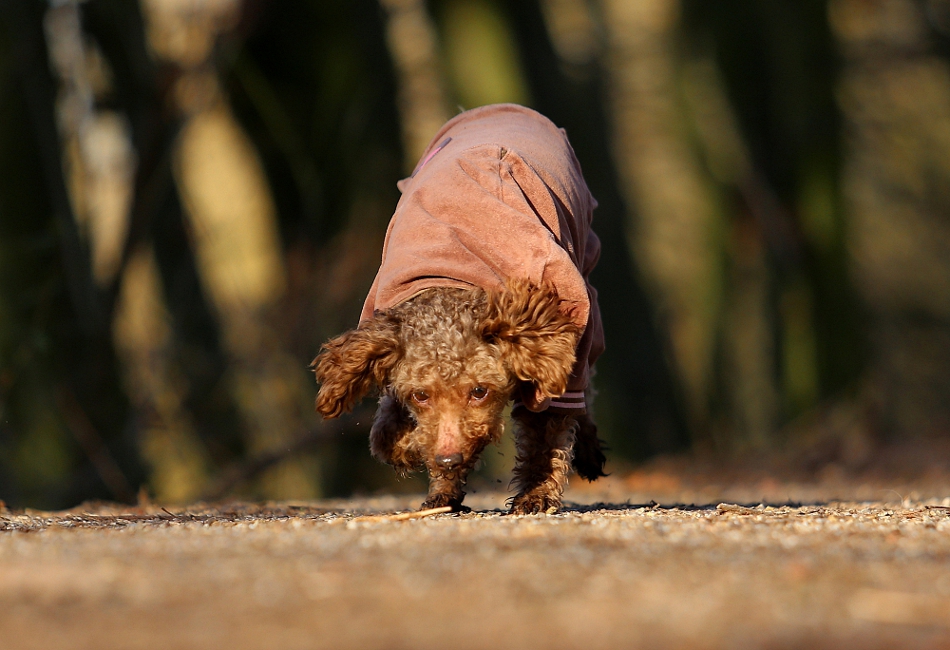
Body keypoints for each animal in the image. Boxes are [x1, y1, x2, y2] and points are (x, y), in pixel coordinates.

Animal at [314, 105, 608, 512]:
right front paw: (432, 476)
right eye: (421, 396)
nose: (448, 458)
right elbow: (387, 433)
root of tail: (499, 109)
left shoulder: (560, 328)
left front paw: (536, 493)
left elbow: (548, 426)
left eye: (480, 391)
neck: (455, 278)